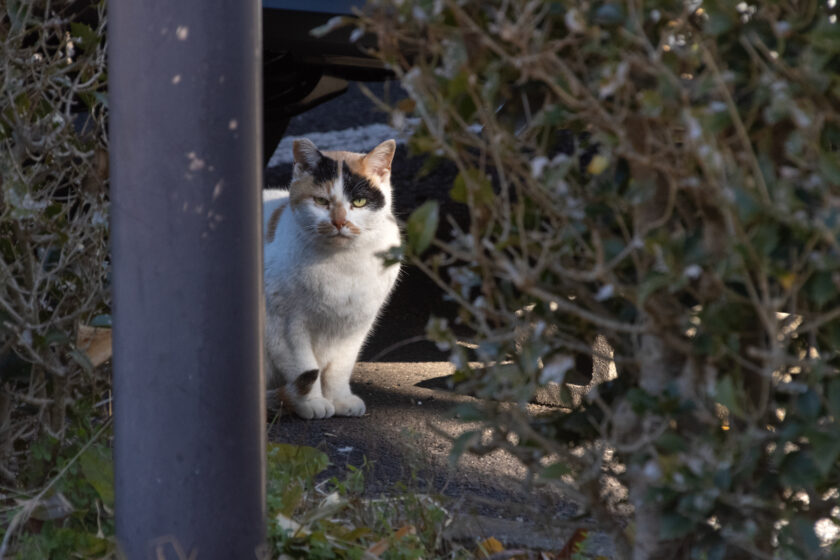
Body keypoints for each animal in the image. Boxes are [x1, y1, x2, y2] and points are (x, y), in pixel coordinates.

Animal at [266, 138, 404, 418]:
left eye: (359, 202)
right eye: (321, 201)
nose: (339, 222)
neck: (343, 265)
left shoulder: (355, 325)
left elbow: (340, 368)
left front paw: (340, 400)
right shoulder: (285, 327)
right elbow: (304, 367)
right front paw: (312, 403)